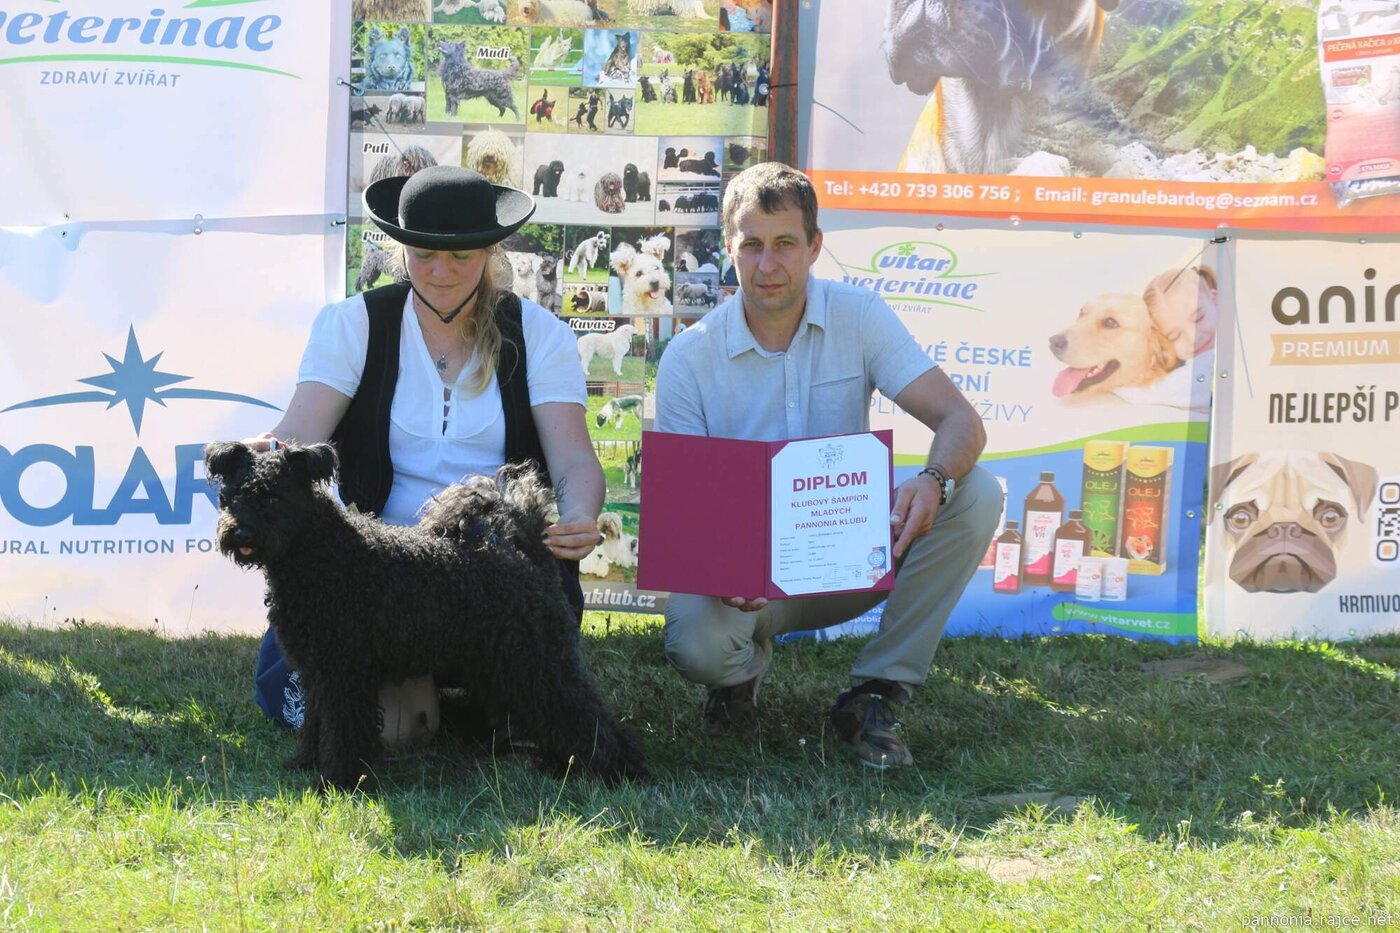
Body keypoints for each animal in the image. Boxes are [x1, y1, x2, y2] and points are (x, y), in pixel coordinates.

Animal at [205, 443, 645, 789]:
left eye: (273, 497)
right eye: (231, 495)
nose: (240, 534)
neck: (324, 553)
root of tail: (530, 548)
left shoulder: (344, 673)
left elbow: (342, 729)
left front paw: (337, 781)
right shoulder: (319, 672)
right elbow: (316, 723)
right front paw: (304, 763)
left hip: (535, 662)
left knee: (581, 713)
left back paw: (618, 768)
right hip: (502, 667)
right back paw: (560, 764)